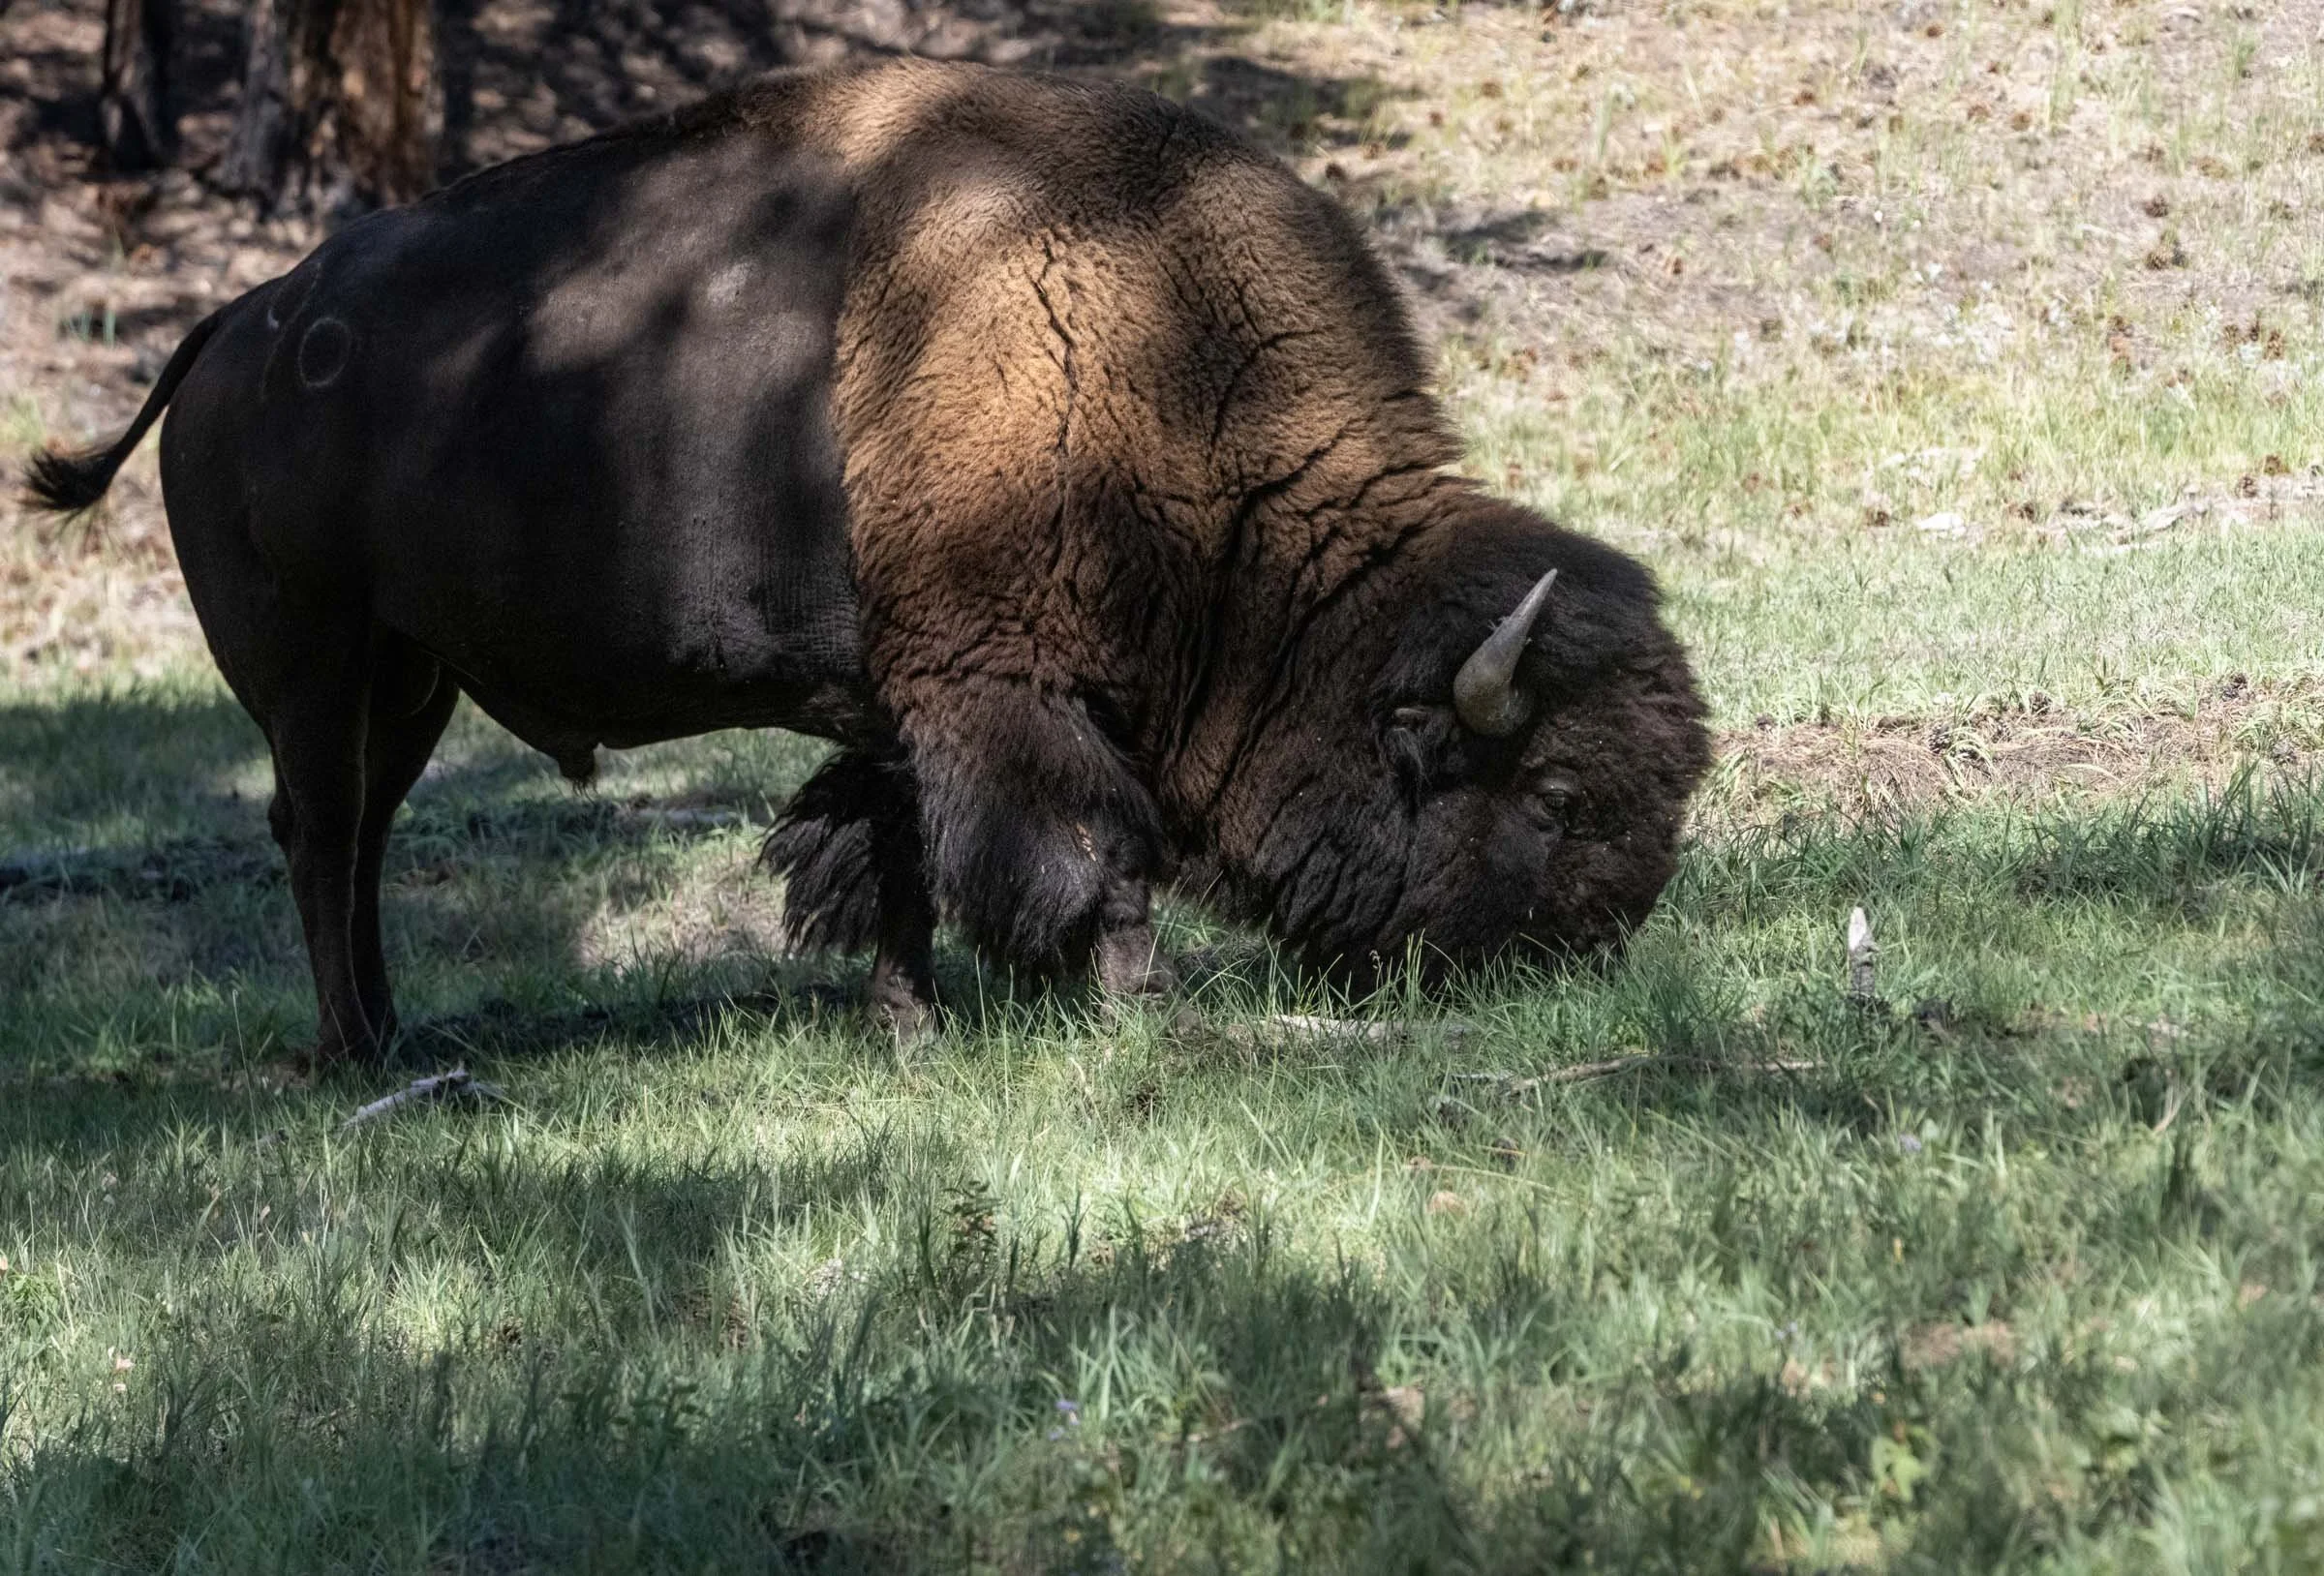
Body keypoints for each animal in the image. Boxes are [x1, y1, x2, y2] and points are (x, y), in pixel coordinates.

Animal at [27, 59, 1710, 1060]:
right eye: (1552, 796)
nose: (1595, 955)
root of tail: (235, 324)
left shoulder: (907, 695)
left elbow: (888, 852)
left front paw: (907, 1025)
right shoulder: (998, 690)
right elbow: (1085, 854)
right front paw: (1135, 1008)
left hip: (411, 677)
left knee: (364, 837)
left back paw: (403, 1036)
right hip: (313, 668)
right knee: (320, 838)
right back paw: (359, 1054)